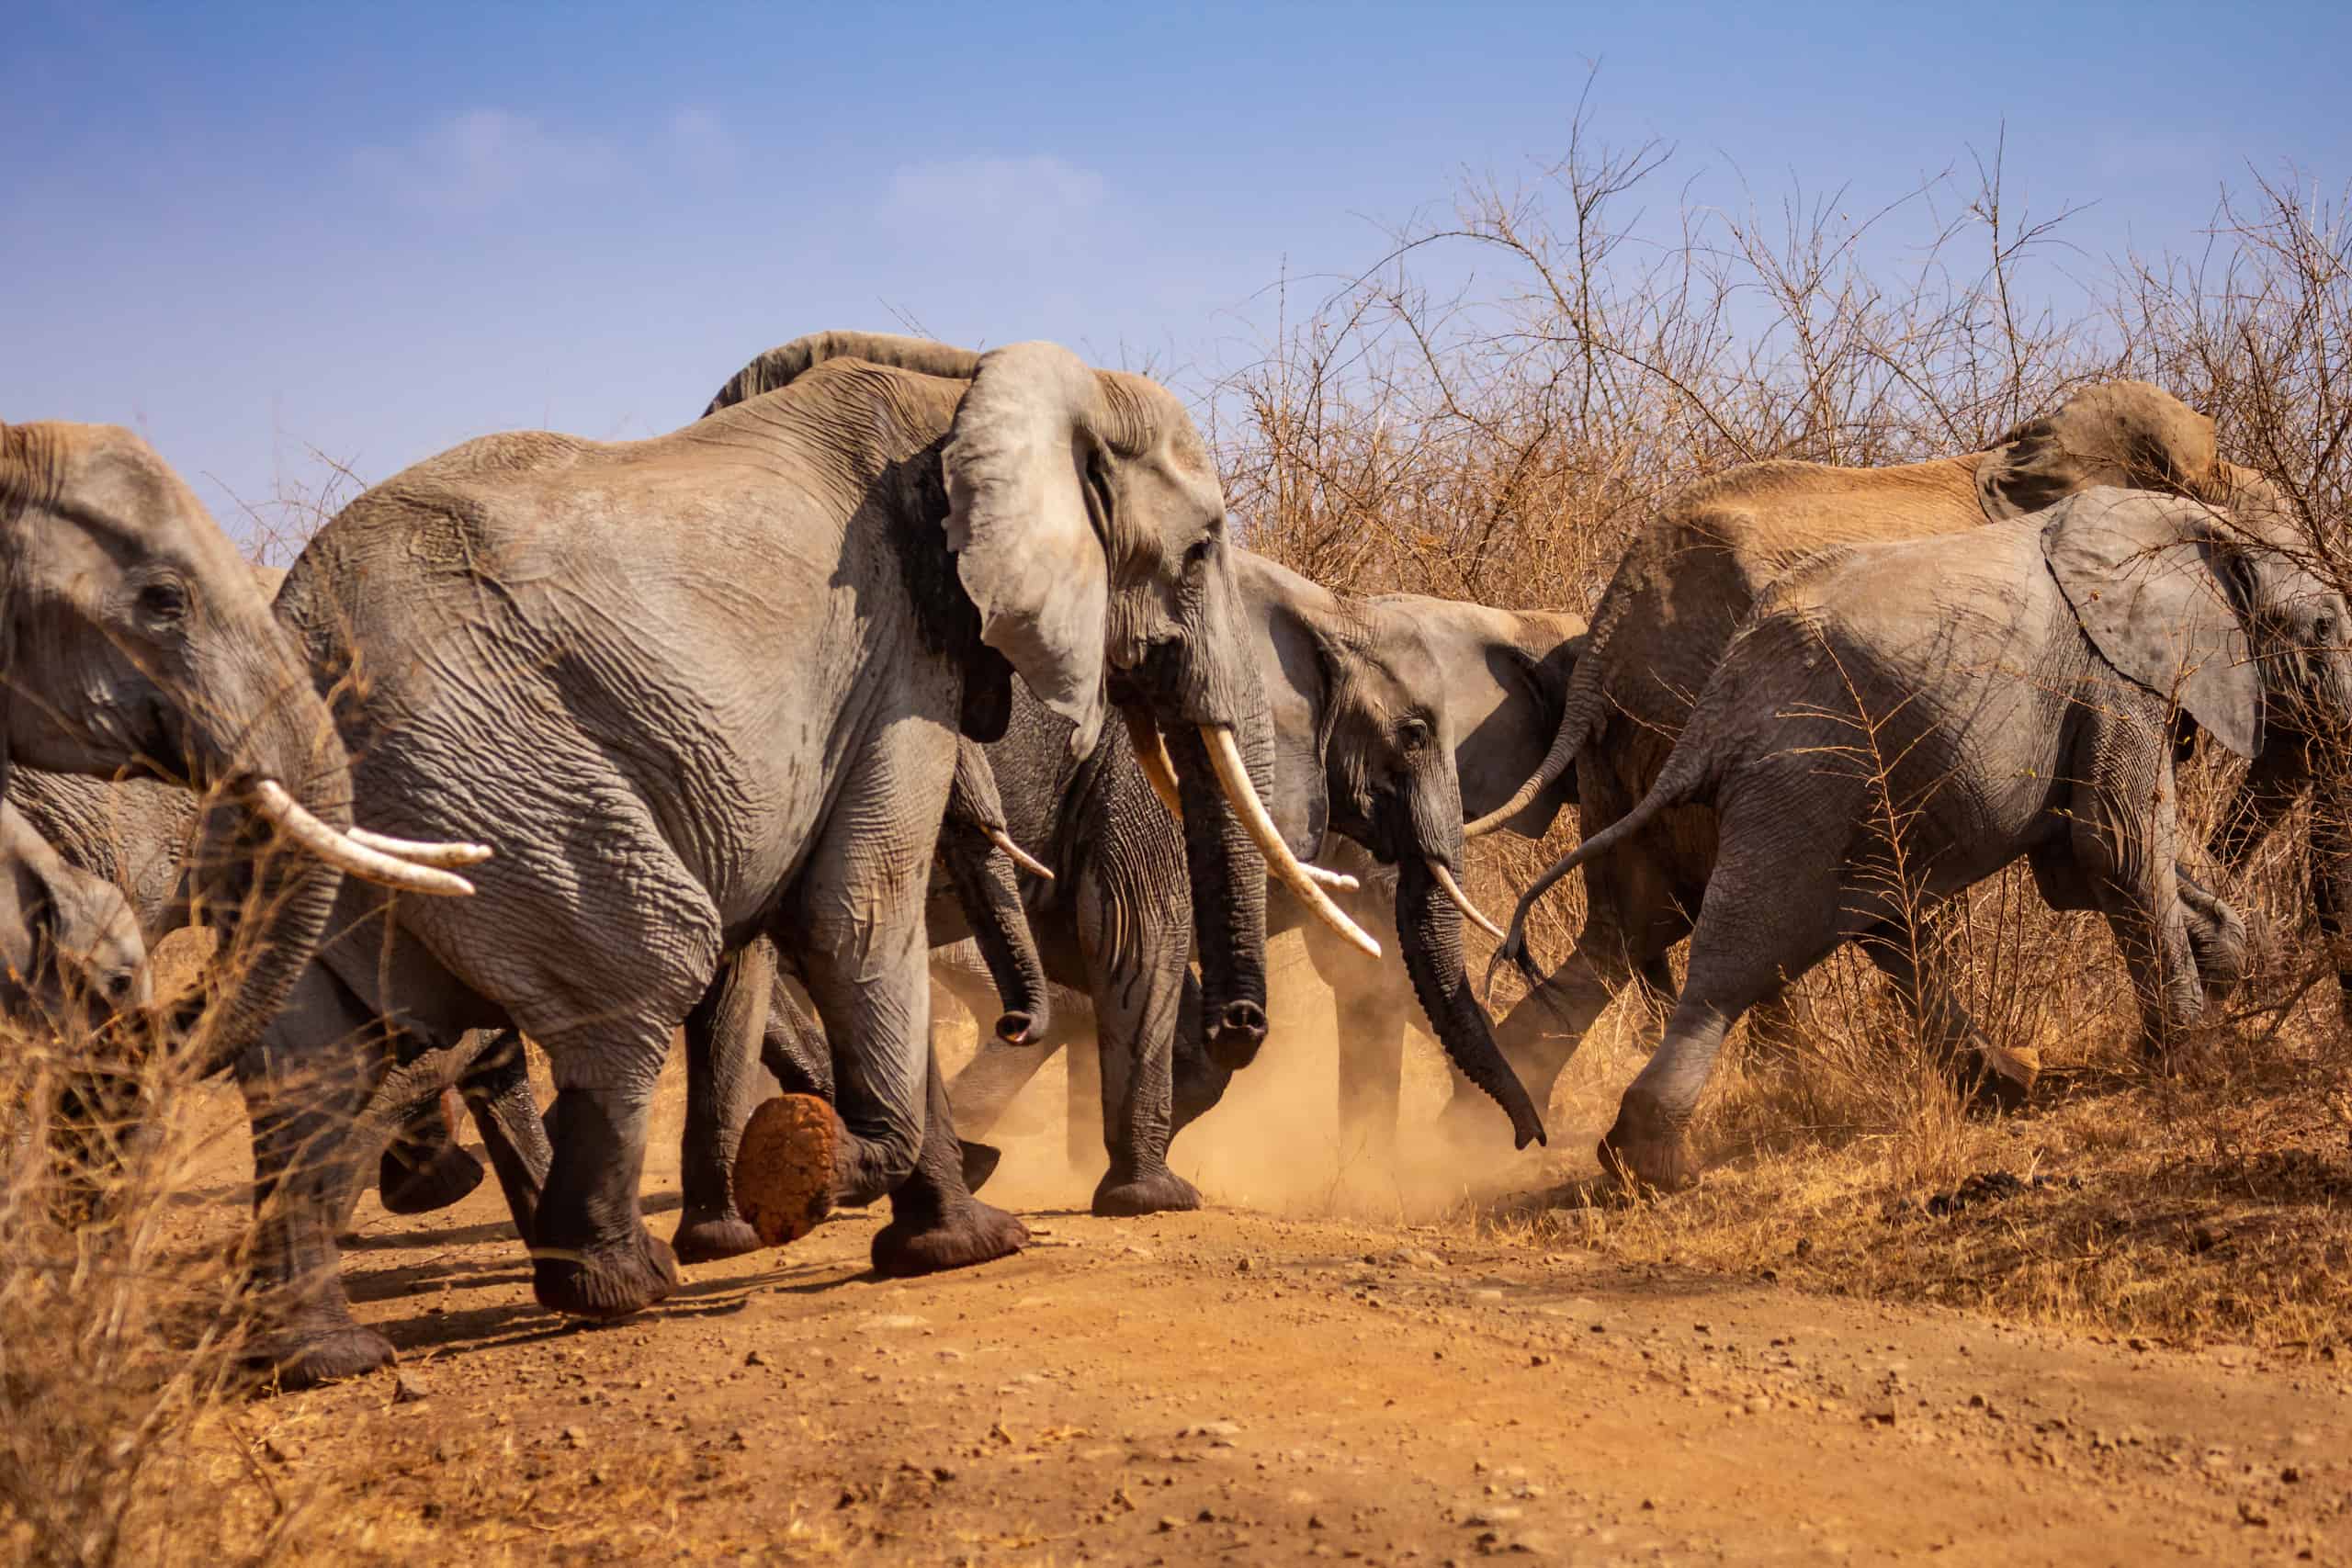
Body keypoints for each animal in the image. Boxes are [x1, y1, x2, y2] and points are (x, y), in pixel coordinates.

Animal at [233, 331, 1374, 1382]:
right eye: (1202, 548)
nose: (1235, 1027)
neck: (968, 387)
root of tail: (299, 622)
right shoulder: (894, 650)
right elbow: (858, 911)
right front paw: (830, 1176)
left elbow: (819, 940)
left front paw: (940, 1233)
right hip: (499, 772)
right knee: (646, 966)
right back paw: (617, 1283)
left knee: (313, 1059)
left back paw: (326, 1355)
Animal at [1467, 380, 2314, 1114]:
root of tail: (1609, 621)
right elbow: (2112, 833)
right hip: (1723, 719)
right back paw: (1811, 1082)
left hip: (1632, 751)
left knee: (1630, 929)